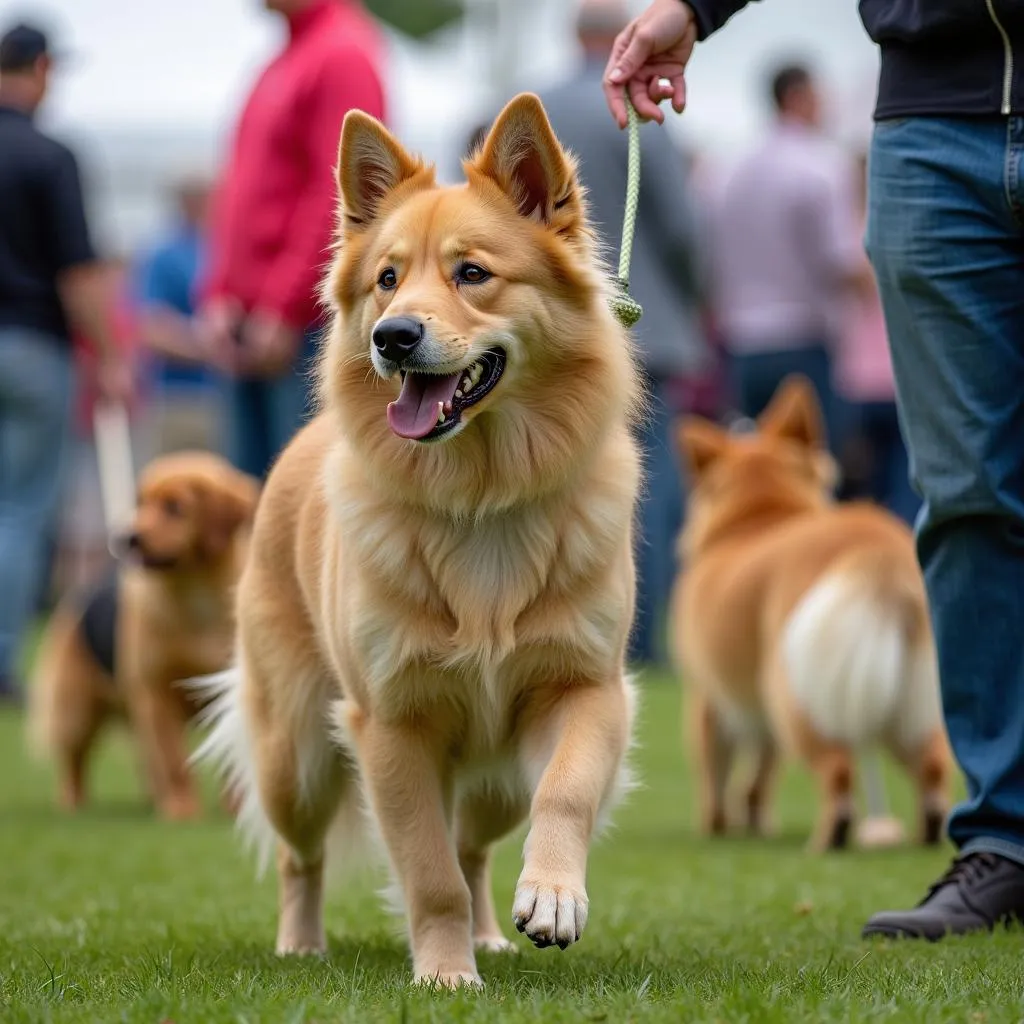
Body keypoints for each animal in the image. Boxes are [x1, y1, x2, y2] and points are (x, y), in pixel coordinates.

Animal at [29, 452, 260, 819]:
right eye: (139, 502)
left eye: (175, 507)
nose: (127, 538)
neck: (195, 597)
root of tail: (82, 595)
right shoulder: (156, 696)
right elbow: (173, 762)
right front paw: (181, 810)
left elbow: (228, 763)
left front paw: (235, 810)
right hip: (77, 709)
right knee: (75, 759)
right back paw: (73, 802)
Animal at [192, 94, 638, 983]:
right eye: (388, 279)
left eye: (472, 273)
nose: (391, 337)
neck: (481, 498)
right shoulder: (391, 727)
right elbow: (426, 870)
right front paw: (442, 973)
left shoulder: (588, 689)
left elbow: (564, 792)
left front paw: (552, 897)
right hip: (297, 758)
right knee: (302, 856)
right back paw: (301, 945)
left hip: (494, 783)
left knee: (476, 847)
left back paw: (490, 930)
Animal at [671, 380, 950, 851]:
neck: (761, 514)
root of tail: (875, 551)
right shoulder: (757, 711)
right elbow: (760, 776)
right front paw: (755, 822)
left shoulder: (709, 699)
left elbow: (716, 773)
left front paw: (716, 827)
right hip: (911, 697)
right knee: (933, 765)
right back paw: (927, 831)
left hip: (795, 695)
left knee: (838, 771)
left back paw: (827, 838)